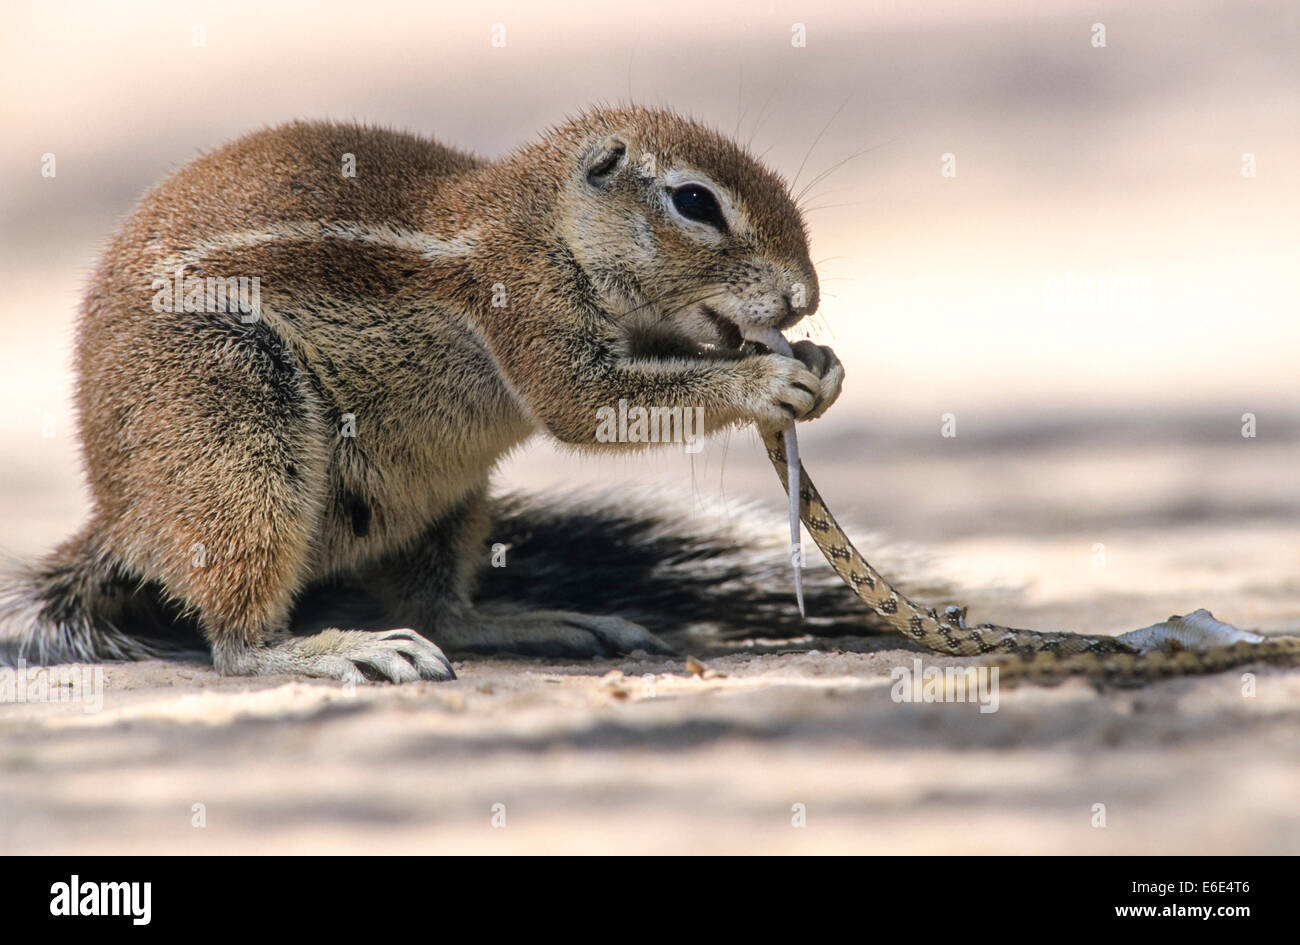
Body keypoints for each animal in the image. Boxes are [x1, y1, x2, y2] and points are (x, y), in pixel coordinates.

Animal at [0, 106, 852, 684]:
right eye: (696, 202)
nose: (804, 296)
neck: (550, 222)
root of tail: (122, 521)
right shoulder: (525, 300)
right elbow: (582, 402)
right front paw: (765, 379)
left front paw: (821, 362)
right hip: (235, 427)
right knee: (239, 645)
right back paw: (336, 649)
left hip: (444, 499)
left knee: (440, 611)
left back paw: (540, 623)